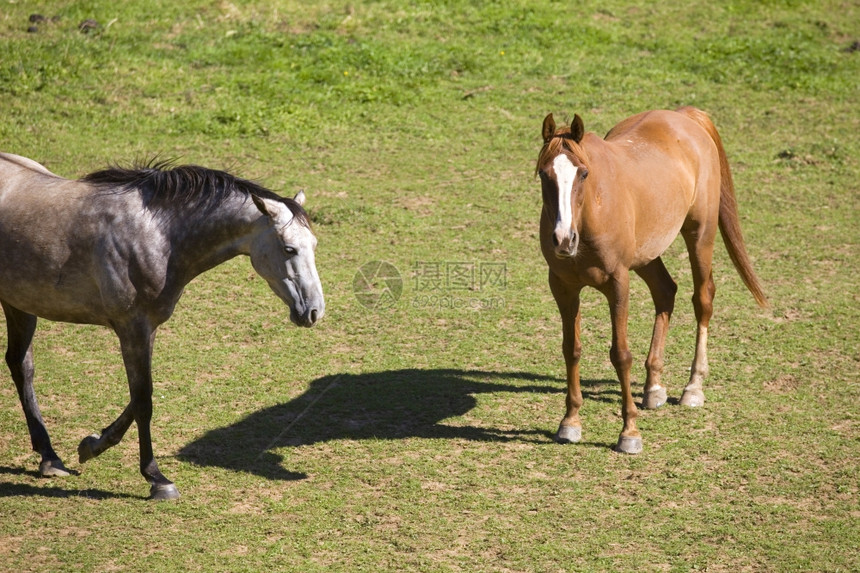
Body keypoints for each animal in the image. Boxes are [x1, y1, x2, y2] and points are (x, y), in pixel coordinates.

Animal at [0, 154, 322, 498]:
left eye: (314, 244)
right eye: (289, 249)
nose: (315, 310)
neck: (157, 236)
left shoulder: (147, 328)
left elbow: (139, 396)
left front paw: (92, 445)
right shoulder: (132, 327)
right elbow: (143, 400)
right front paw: (156, 478)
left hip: (20, 304)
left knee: (20, 366)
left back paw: (49, 458)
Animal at [536, 107, 764, 454]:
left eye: (584, 174)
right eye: (543, 174)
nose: (564, 239)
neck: (592, 211)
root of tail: (685, 115)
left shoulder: (618, 284)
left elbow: (620, 354)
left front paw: (629, 432)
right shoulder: (563, 287)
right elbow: (571, 349)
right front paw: (570, 422)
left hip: (700, 235)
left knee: (703, 300)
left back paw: (693, 387)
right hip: (646, 255)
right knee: (665, 291)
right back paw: (653, 387)